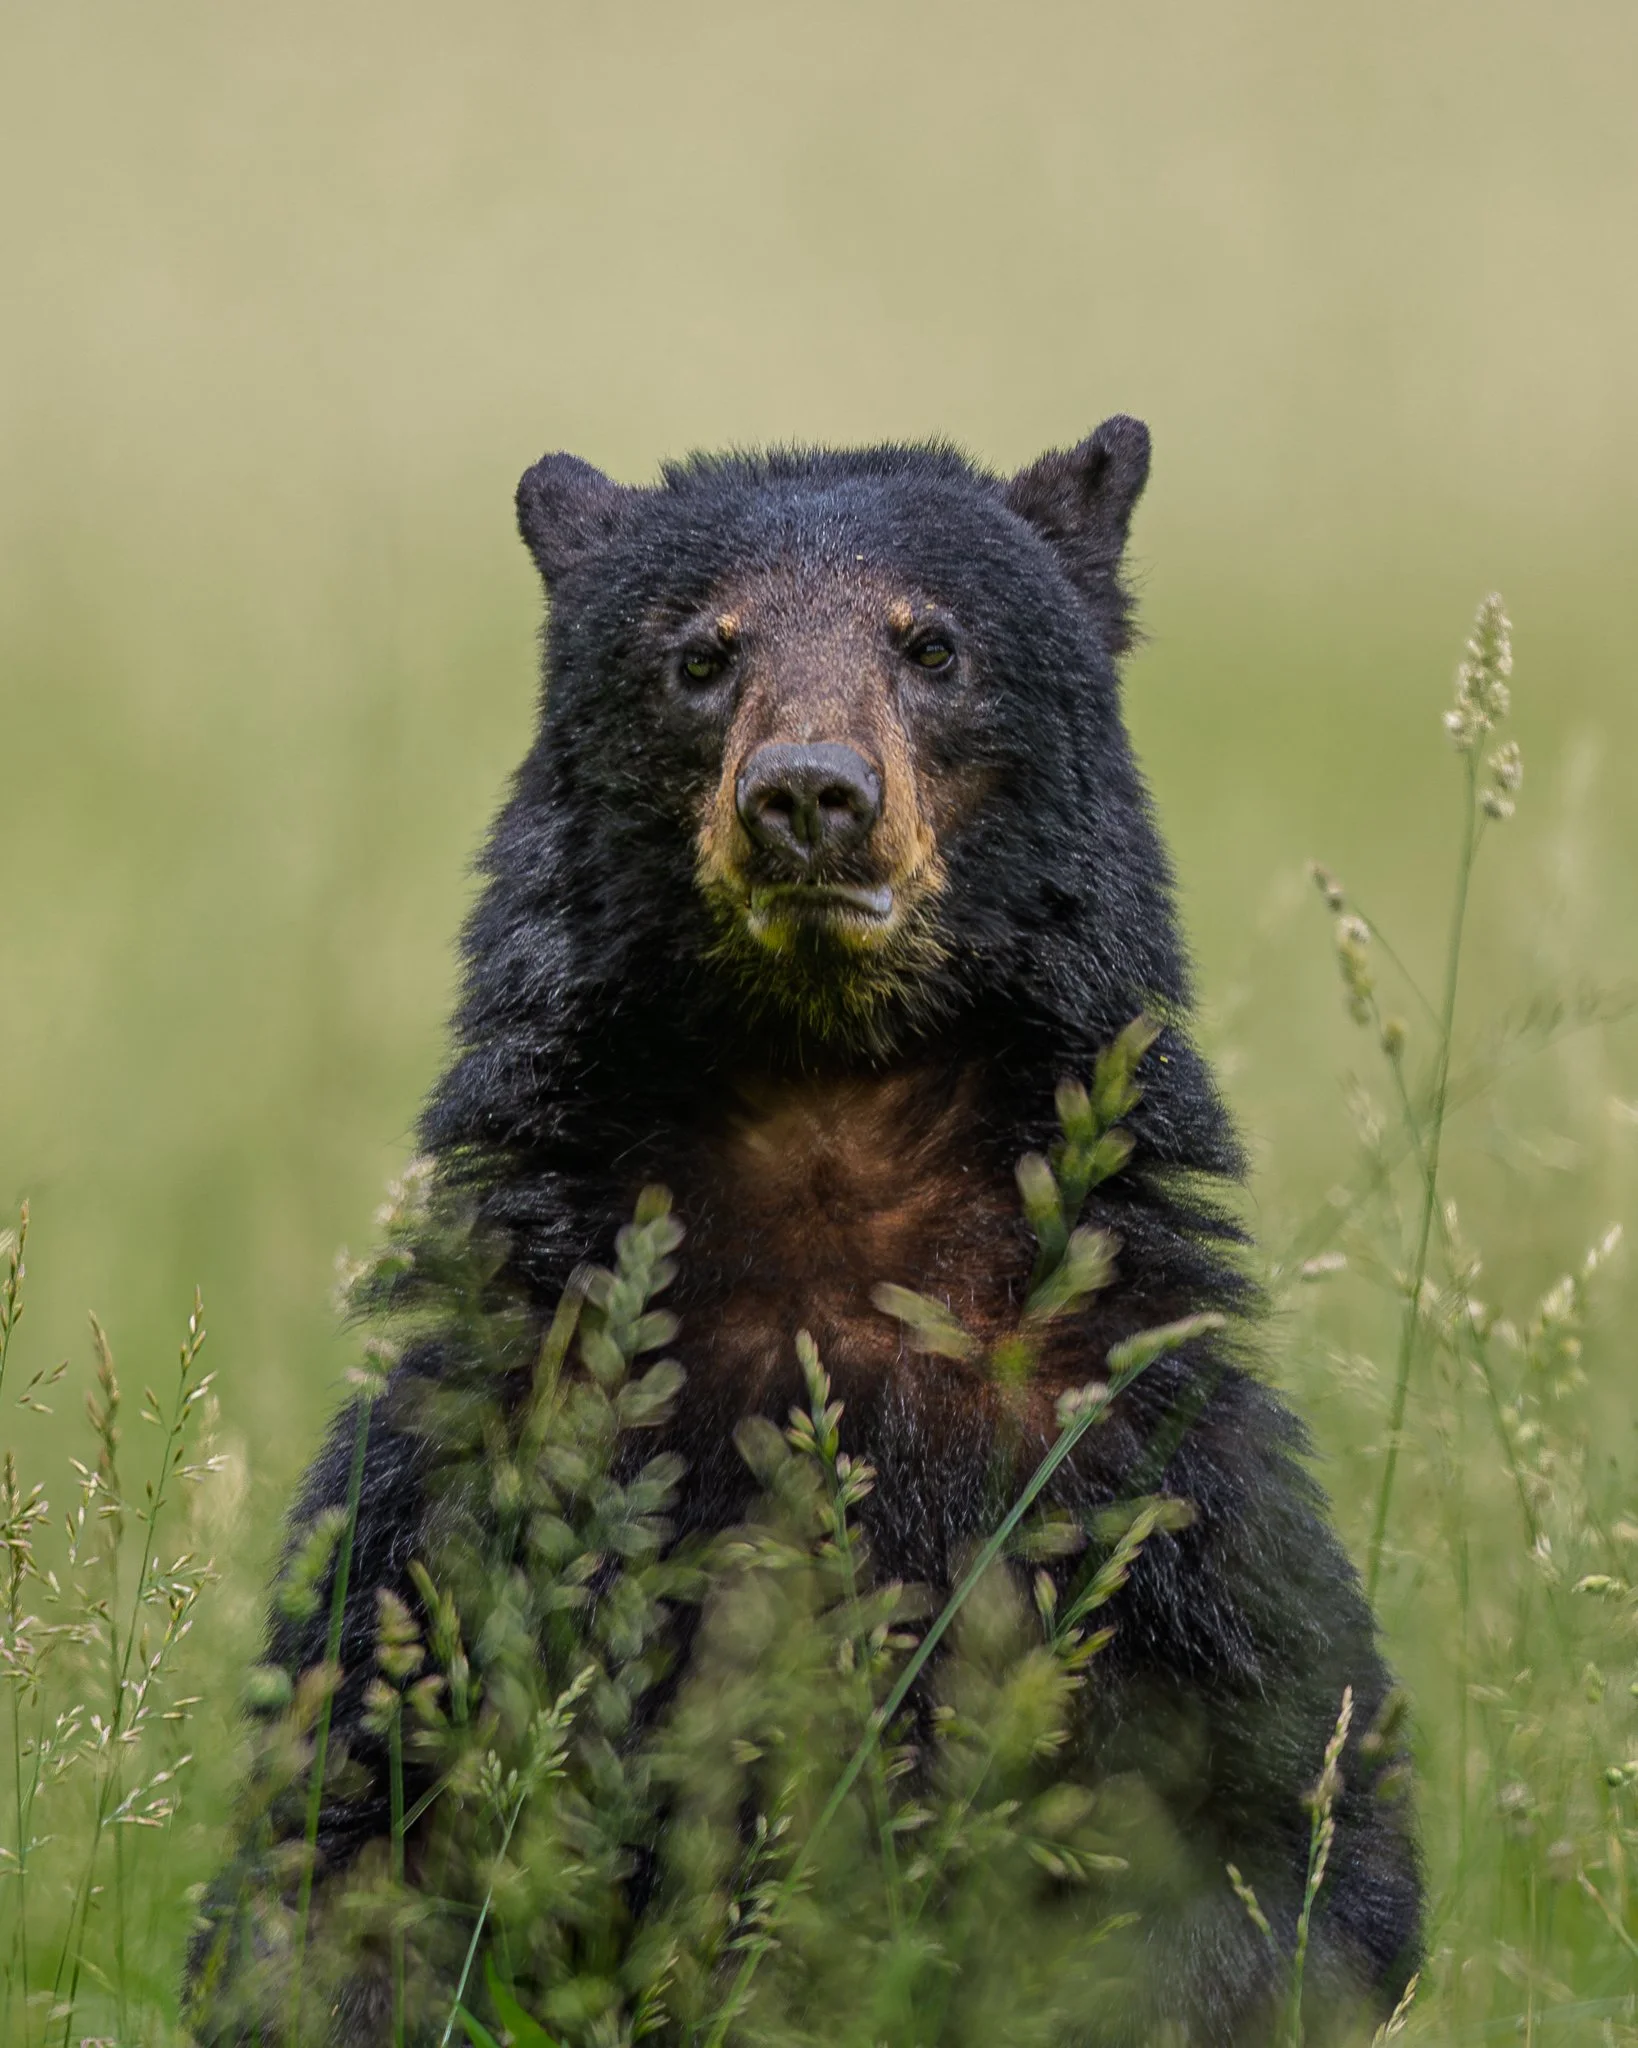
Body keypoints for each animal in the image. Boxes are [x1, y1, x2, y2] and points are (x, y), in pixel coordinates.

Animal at [191, 418, 1422, 2044]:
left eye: (934, 645)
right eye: (700, 655)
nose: (807, 796)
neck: (827, 1120)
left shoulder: (1145, 1473)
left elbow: (1273, 1835)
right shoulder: (484, 1457)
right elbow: (344, 1840)